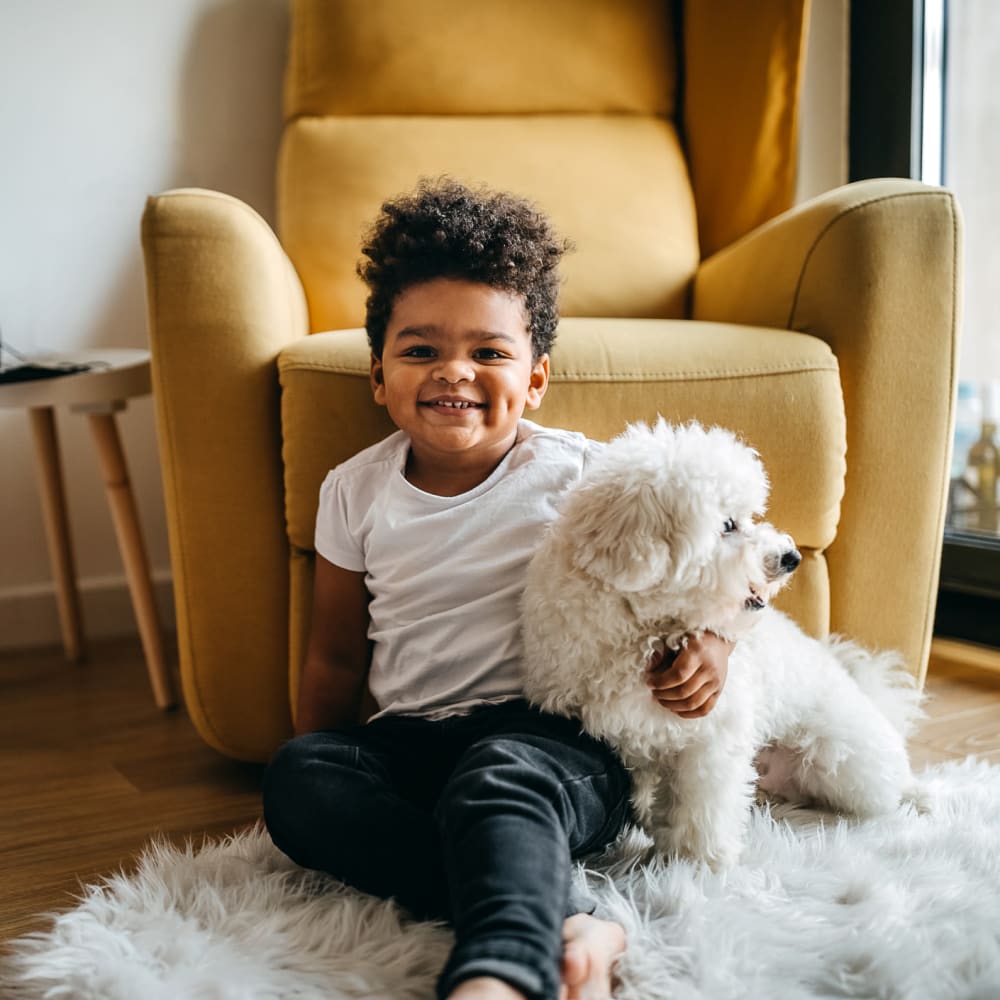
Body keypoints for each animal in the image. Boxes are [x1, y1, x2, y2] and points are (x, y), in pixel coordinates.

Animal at [524, 418, 920, 864]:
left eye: (748, 516)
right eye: (727, 525)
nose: (791, 557)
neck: (642, 630)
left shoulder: (711, 738)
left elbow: (702, 806)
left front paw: (697, 863)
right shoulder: (622, 735)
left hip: (847, 764)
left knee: (890, 784)